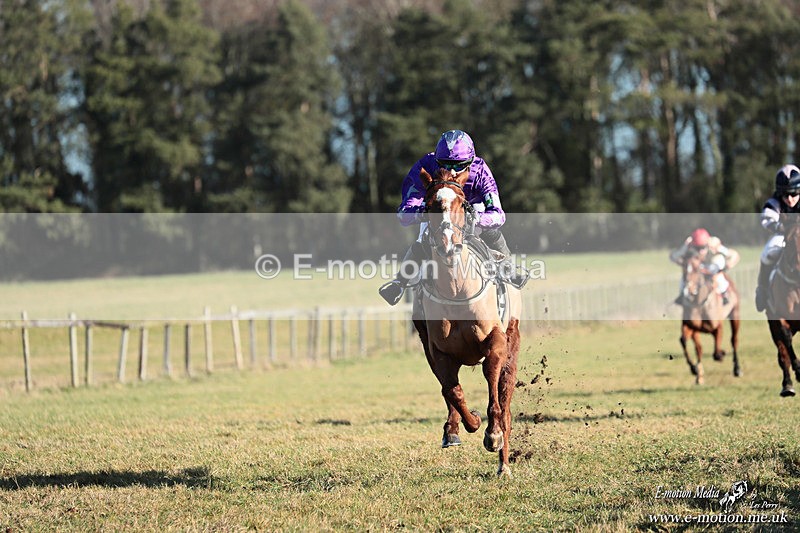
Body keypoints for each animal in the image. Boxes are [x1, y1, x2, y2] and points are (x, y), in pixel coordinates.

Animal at [411, 167, 523, 477]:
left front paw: (493, 434)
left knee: (505, 399)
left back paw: (504, 464)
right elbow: (452, 390)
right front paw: (468, 423)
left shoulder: (496, 341)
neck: (456, 288)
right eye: (430, 205)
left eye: (462, 203)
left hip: (513, 345)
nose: (448, 244)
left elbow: (492, 380)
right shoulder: (437, 350)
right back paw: (453, 429)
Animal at [679, 251, 741, 385]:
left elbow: (716, 352)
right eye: (683, 268)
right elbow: (685, 342)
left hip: (735, 314)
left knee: (734, 339)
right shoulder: (692, 327)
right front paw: (695, 370)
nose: (688, 290)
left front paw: (722, 353)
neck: (699, 303)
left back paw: (737, 369)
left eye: (697, 268)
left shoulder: (717, 326)